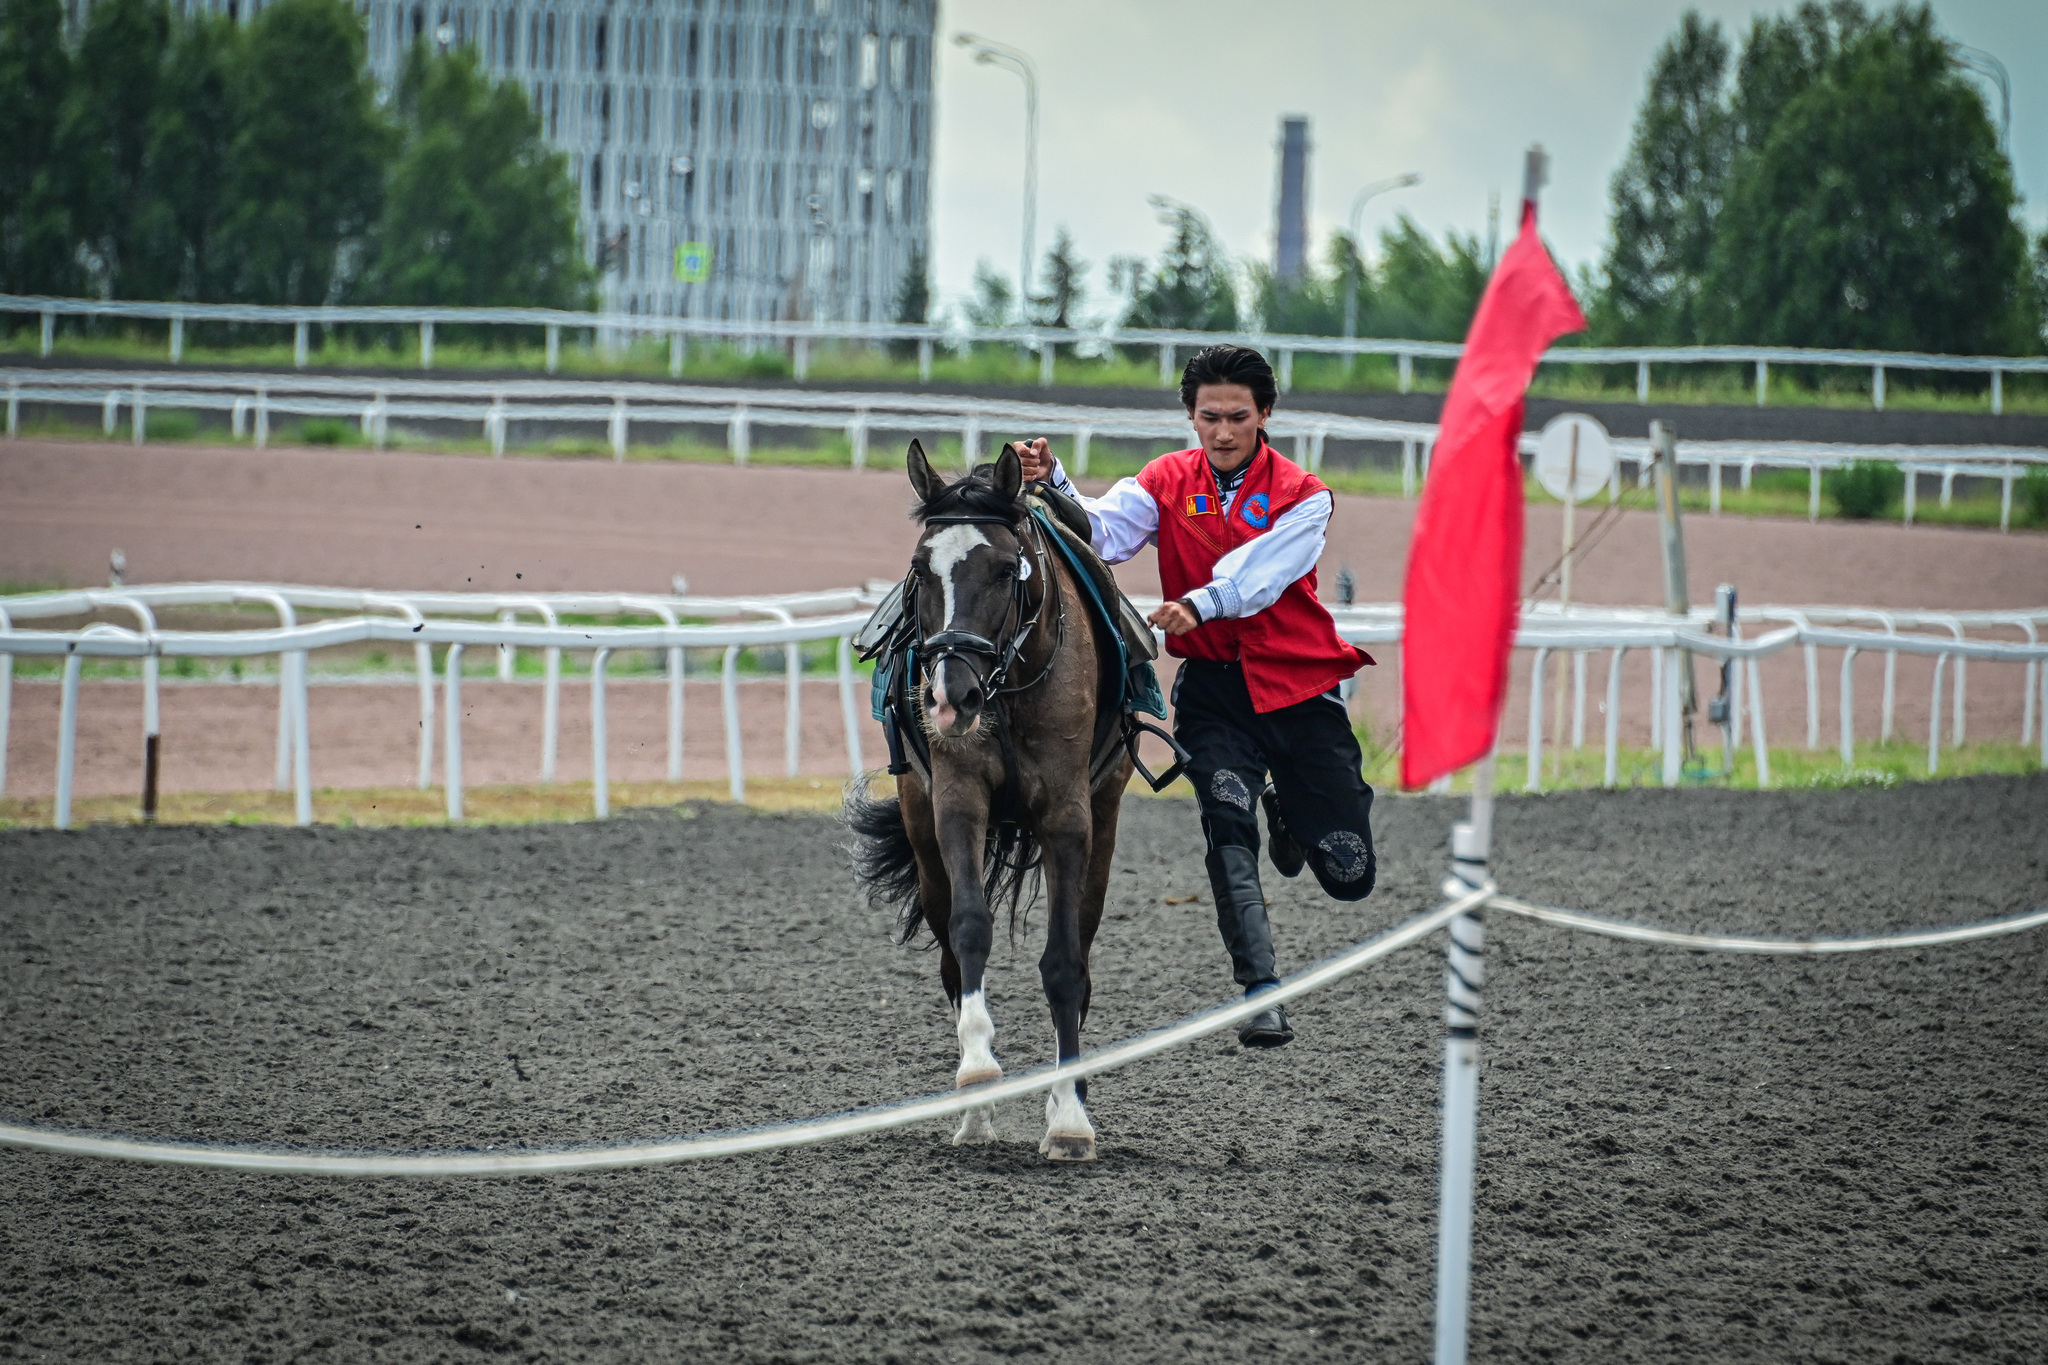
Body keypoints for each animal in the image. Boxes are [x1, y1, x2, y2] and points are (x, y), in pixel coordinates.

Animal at [847, 439, 1138, 1162]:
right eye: (920, 570)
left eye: (1008, 570)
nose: (951, 695)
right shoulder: (956, 801)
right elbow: (969, 929)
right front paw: (977, 1076)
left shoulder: (1069, 817)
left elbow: (1064, 961)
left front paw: (1069, 1119)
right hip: (923, 838)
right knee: (952, 957)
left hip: (1104, 824)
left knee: (1081, 950)